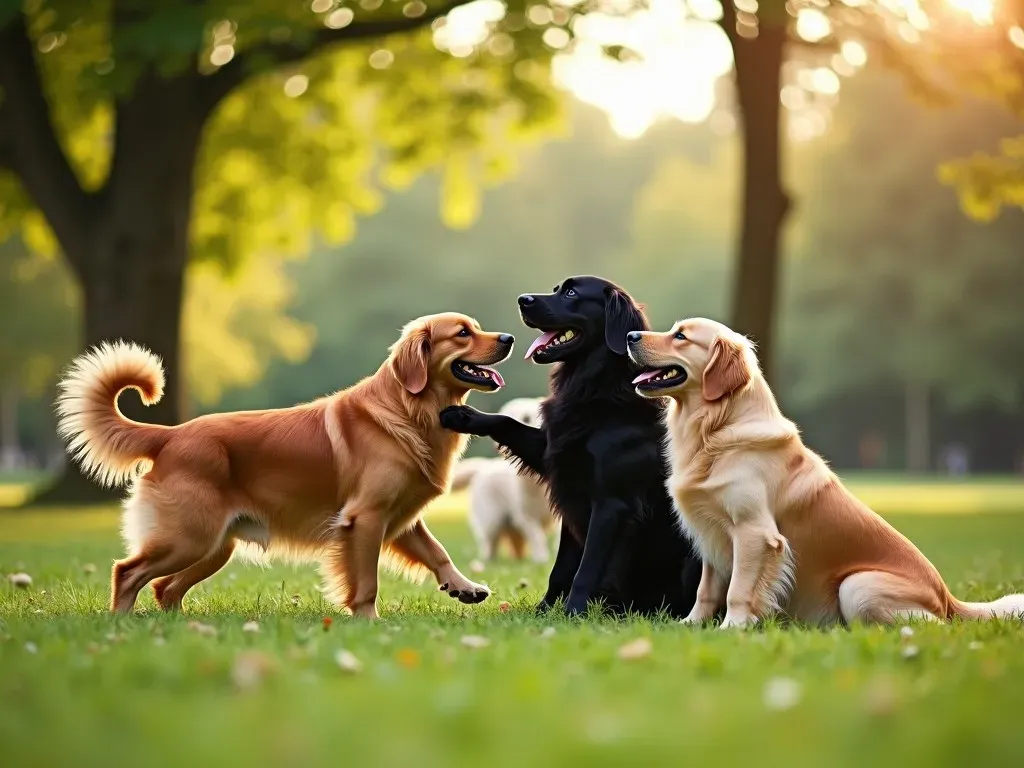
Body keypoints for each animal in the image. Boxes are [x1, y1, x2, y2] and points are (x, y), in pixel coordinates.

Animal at [452, 399, 557, 561]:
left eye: (528, 417)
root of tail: (482, 467)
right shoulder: (526, 516)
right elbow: (537, 537)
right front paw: (541, 558)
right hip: (491, 519)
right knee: (490, 542)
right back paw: (489, 559)